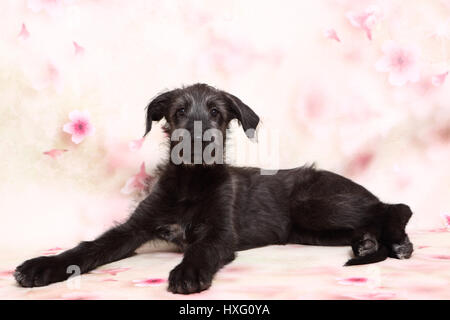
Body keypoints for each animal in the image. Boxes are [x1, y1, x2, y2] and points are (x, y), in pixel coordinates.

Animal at [14, 84, 414, 294]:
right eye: (178, 112)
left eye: (217, 114)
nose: (198, 140)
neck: (192, 183)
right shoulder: (134, 227)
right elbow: (90, 246)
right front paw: (44, 266)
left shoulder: (221, 231)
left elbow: (203, 247)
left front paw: (188, 272)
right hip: (310, 230)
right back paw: (370, 244)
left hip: (314, 203)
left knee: (395, 207)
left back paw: (397, 242)